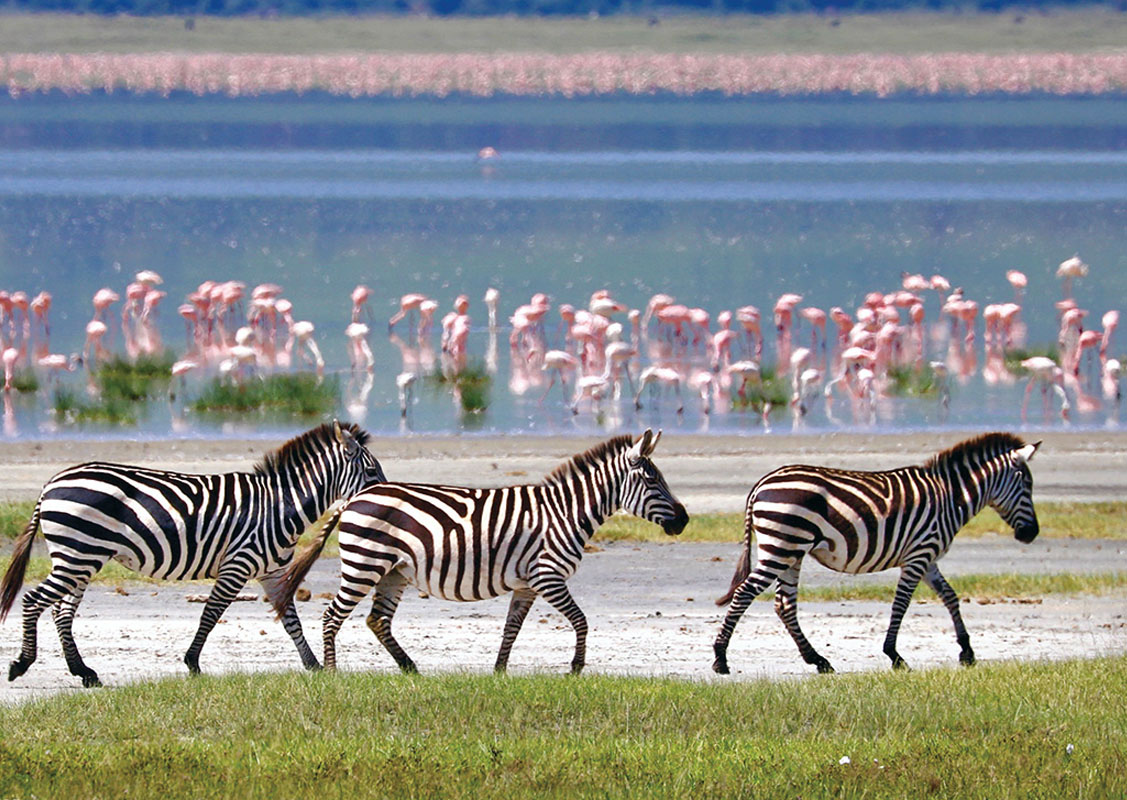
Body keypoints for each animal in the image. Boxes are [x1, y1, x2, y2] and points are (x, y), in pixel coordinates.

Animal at [1, 419, 387, 689]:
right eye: (371, 471)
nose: (384, 498)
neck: (280, 507)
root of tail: (51, 483)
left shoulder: (272, 573)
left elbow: (290, 619)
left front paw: (314, 666)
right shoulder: (237, 565)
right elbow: (210, 614)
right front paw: (192, 663)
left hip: (83, 557)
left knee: (61, 611)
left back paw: (83, 672)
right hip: (78, 554)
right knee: (34, 600)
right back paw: (22, 663)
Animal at [274, 430, 694, 671]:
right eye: (651, 479)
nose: (684, 520)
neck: (565, 512)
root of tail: (355, 497)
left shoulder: (528, 583)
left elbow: (511, 628)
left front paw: (499, 671)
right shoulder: (548, 575)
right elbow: (581, 620)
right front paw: (576, 667)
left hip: (393, 571)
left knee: (377, 621)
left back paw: (411, 670)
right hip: (364, 565)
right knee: (332, 616)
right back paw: (333, 673)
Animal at [712, 432, 1036, 676]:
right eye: (1027, 485)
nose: (1031, 534)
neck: (950, 497)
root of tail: (762, 482)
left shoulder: (928, 557)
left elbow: (950, 597)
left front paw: (966, 651)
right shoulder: (919, 554)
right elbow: (901, 604)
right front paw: (894, 655)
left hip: (791, 552)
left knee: (784, 605)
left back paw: (818, 661)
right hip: (782, 546)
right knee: (745, 593)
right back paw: (720, 658)